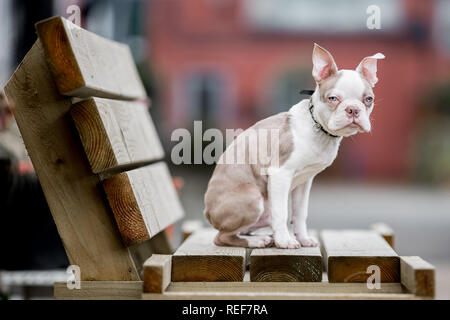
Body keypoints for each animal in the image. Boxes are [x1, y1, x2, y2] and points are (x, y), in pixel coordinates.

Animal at [204, 44, 384, 250]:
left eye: (369, 99)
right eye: (333, 98)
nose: (353, 109)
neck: (318, 128)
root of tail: (208, 213)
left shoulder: (305, 181)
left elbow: (299, 213)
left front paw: (303, 238)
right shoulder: (280, 174)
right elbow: (282, 212)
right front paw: (285, 241)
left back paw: (267, 237)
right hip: (252, 196)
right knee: (222, 237)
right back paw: (258, 240)